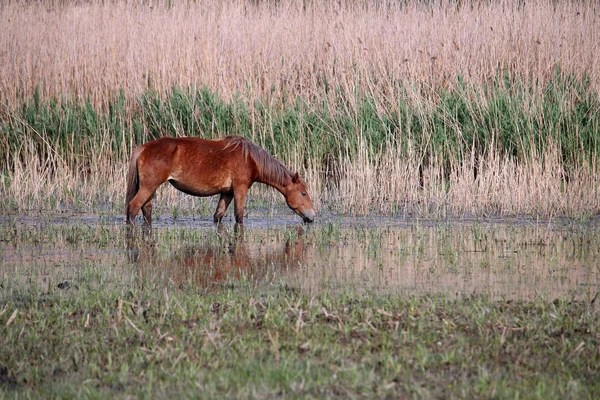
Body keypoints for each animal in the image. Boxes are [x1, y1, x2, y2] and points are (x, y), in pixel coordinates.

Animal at [125, 136, 316, 225]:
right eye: (303, 193)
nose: (313, 215)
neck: (250, 159)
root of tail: (143, 148)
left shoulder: (227, 193)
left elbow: (218, 216)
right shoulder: (240, 189)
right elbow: (239, 216)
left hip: (151, 189)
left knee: (146, 209)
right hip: (148, 187)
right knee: (133, 207)